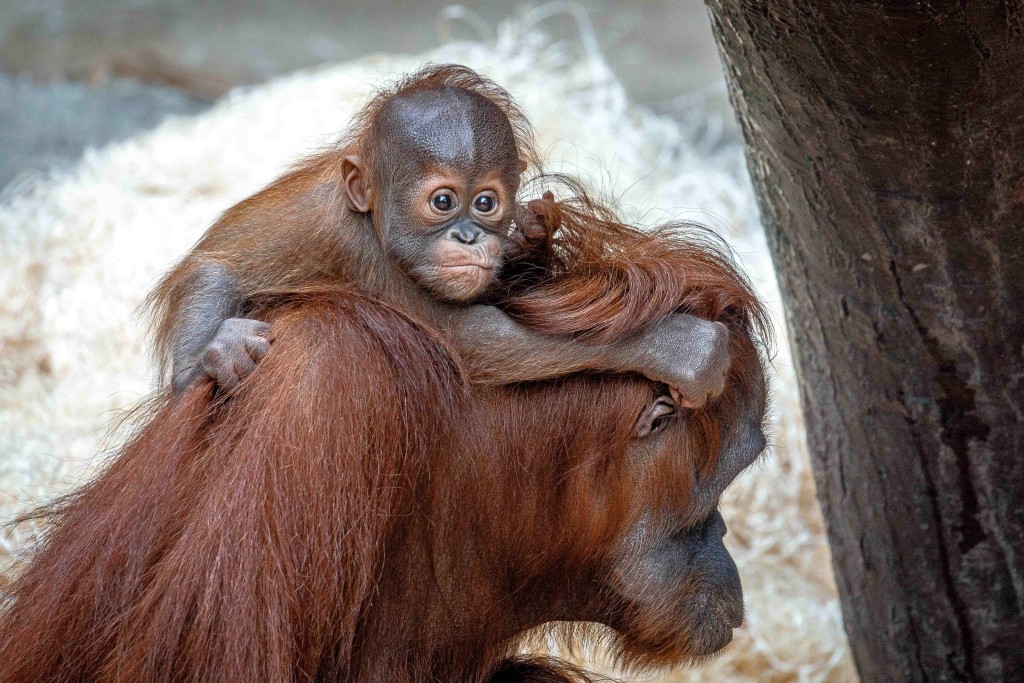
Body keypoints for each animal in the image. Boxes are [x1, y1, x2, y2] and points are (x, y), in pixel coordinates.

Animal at [149, 65, 730, 408]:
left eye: (486, 203)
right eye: (444, 202)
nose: (470, 237)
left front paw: (529, 236)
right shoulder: (365, 254)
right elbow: (468, 337)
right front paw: (683, 347)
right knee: (213, 272)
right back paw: (207, 361)